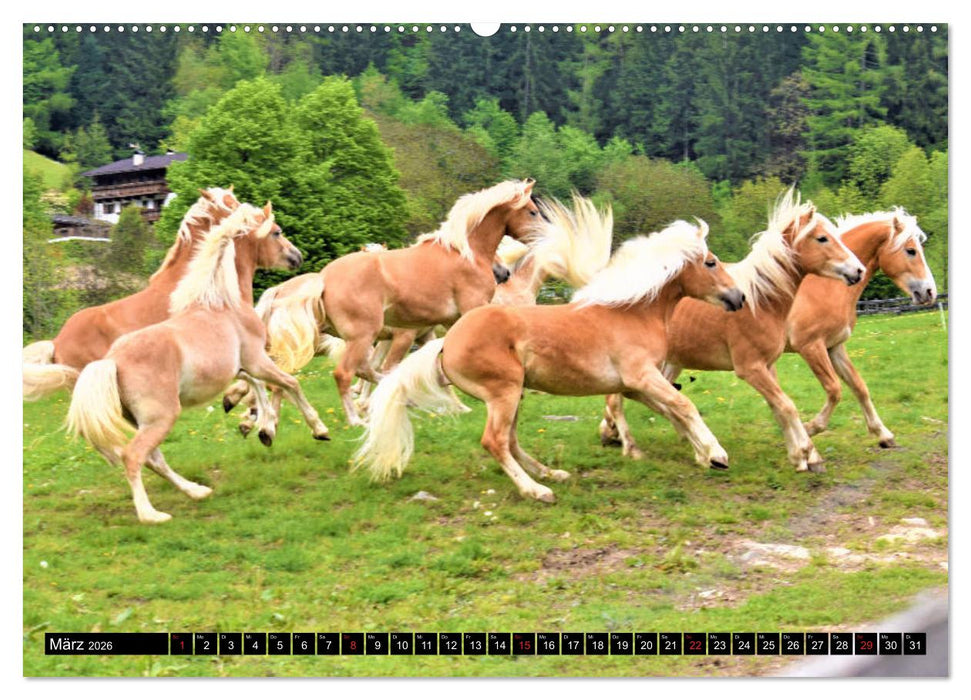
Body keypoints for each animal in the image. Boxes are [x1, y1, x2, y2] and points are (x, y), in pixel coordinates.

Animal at [65, 202, 330, 524]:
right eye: (277, 232)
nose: (297, 256)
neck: (222, 303)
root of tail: (112, 361)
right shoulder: (256, 359)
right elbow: (289, 383)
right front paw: (316, 429)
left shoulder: (240, 366)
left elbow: (259, 387)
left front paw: (257, 423)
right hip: (161, 418)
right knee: (134, 456)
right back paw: (151, 514)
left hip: (142, 421)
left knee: (154, 459)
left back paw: (197, 491)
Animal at [353, 218, 745, 504]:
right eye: (711, 263)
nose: (739, 297)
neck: (633, 312)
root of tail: (447, 343)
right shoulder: (642, 376)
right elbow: (684, 405)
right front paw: (718, 454)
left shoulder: (635, 386)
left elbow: (672, 410)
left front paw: (702, 455)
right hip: (504, 392)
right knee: (495, 441)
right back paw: (537, 490)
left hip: (512, 396)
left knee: (510, 441)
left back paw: (550, 474)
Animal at [598, 189, 867, 473]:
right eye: (822, 238)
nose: (858, 270)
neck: (760, 301)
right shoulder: (751, 368)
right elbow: (787, 406)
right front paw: (804, 452)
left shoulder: (768, 365)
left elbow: (779, 407)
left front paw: (802, 456)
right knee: (617, 400)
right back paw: (632, 447)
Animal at [787, 208, 937, 446]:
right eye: (911, 251)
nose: (930, 292)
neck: (825, 286)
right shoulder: (810, 347)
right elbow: (834, 390)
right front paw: (810, 428)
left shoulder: (834, 347)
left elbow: (859, 386)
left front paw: (883, 434)